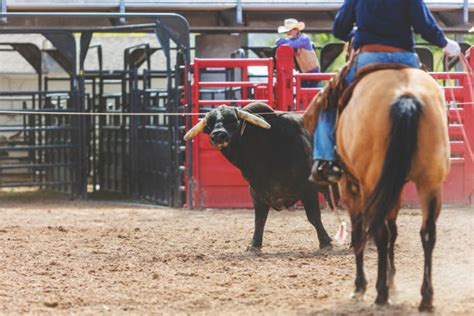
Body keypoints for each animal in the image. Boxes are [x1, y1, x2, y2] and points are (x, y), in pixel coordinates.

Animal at [183, 102, 336, 251]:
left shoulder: (308, 189)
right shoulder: (257, 192)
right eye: (210, 123)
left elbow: (313, 216)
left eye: (232, 120)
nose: (218, 135)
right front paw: (254, 244)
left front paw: (325, 242)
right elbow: (259, 220)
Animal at [336, 67, 450, 312]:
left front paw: (361, 286)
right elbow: (394, 230)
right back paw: (426, 297)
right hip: (430, 183)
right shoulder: (394, 189)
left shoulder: (351, 188)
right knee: (427, 234)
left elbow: (359, 233)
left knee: (379, 232)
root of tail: (406, 96)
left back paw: (381, 293)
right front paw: (393, 281)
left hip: (371, 183)